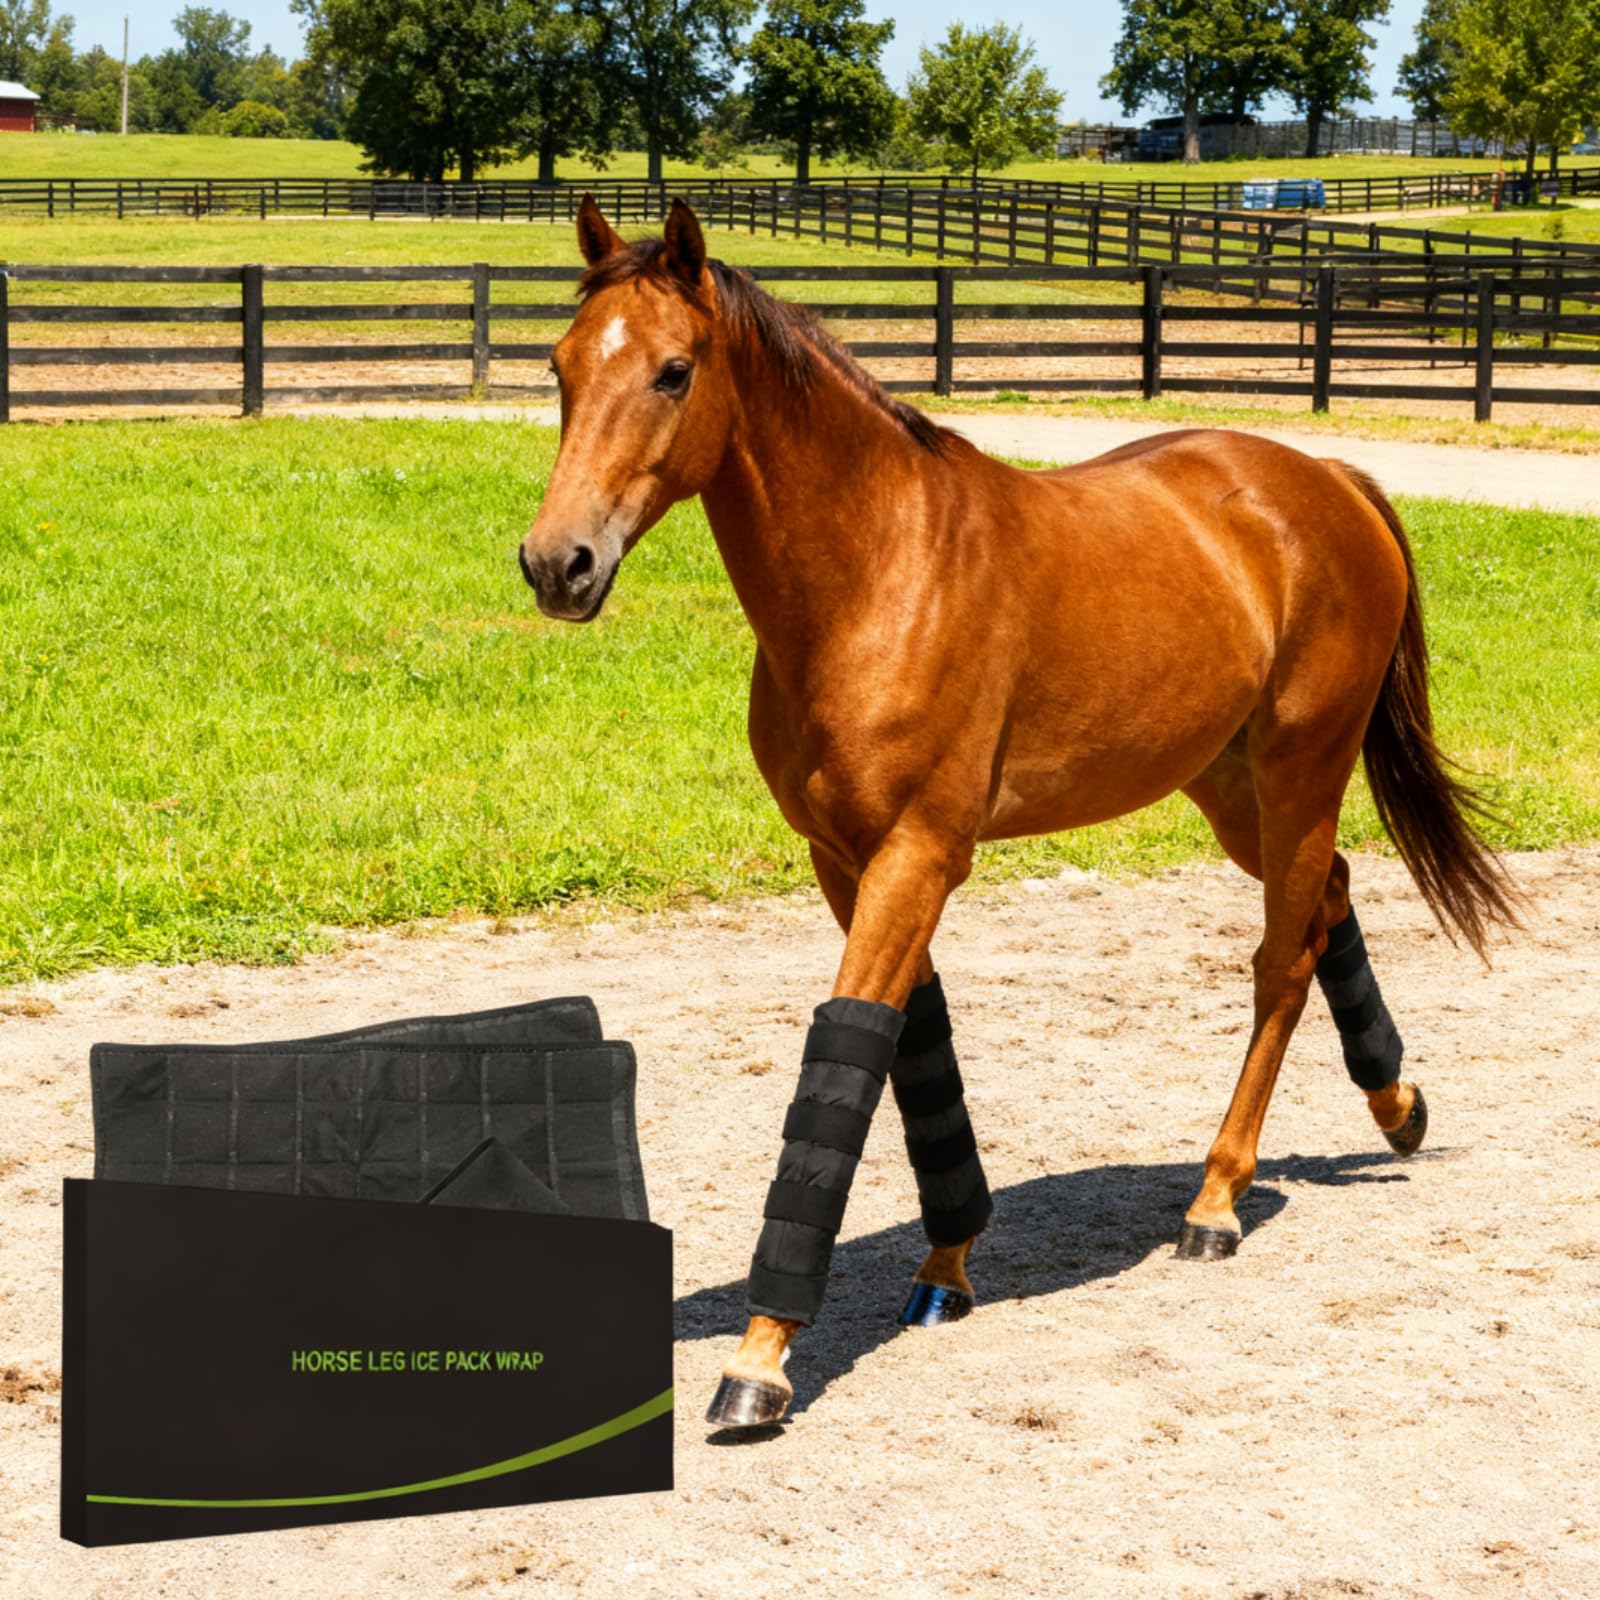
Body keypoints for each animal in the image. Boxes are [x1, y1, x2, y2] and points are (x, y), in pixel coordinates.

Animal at [518, 197, 1521, 1431]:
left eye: (672, 370)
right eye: (560, 365)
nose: (556, 563)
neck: (881, 572)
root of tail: (1327, 479)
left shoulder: (917, 855)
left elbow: (846, 1051)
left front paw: (760, 1357)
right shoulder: (844, 858)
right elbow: (911, 1045)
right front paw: (946, 1265)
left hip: (1300, 774)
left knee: (1280, 962)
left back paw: (1216, 1200)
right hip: (1230, 787)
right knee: (1327, 902)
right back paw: (1395, 1106)